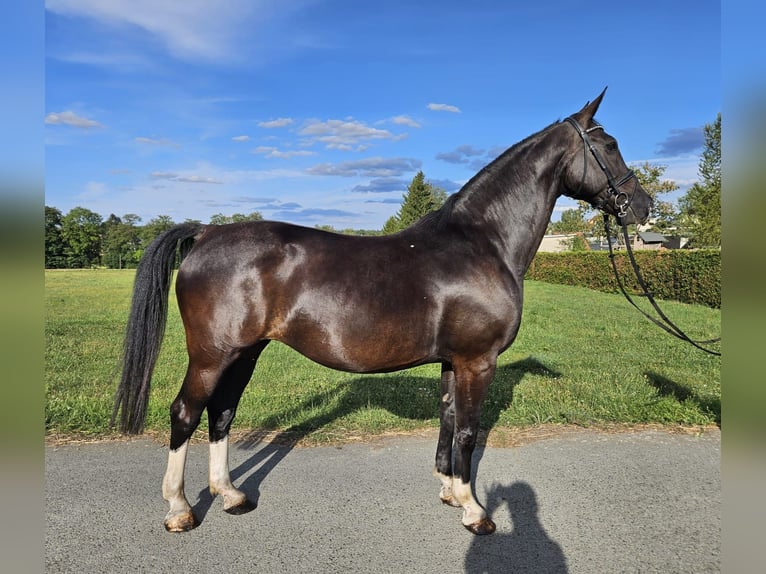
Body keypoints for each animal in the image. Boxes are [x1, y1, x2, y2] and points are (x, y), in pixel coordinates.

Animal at [114, 89, 656, 536]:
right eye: (609, 145)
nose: (643, 205)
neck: (482, 243)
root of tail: (206, 232)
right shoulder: (477, 361)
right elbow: (467, 431)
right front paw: (475, 511)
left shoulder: (452, 361)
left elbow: (447, 421)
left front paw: (449, 492)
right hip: (212, 354)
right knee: (186, 412)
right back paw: (180, 510)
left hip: (244, 353)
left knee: (222, 413)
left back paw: (230, 495)